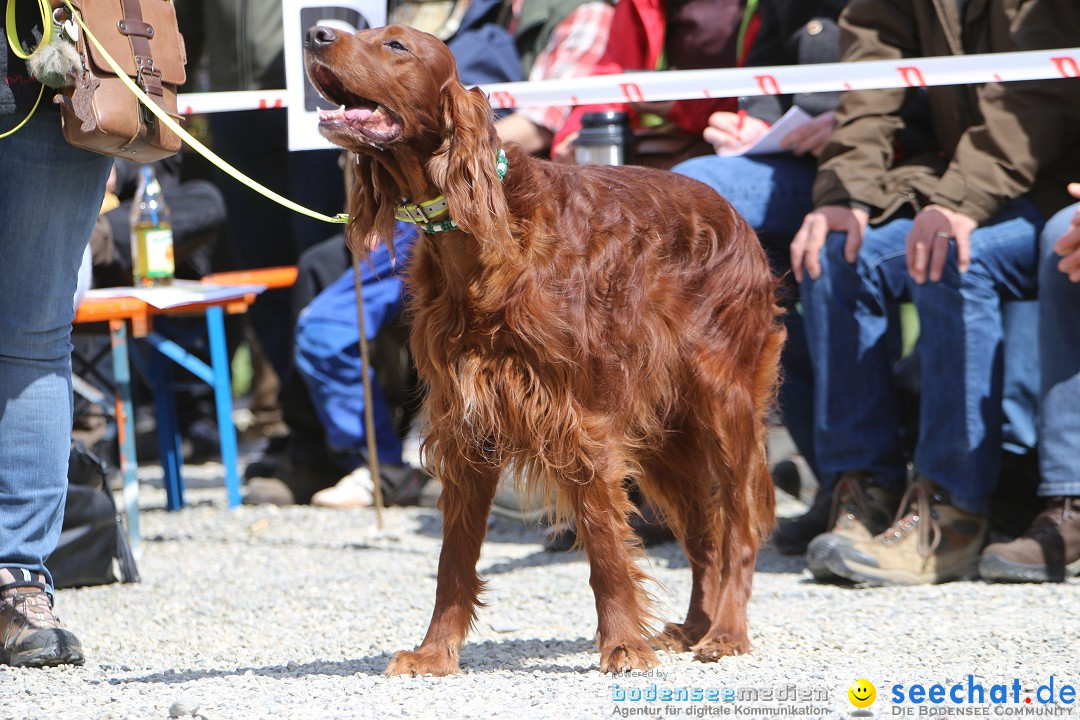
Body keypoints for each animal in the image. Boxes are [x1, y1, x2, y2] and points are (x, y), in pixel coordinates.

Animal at [304, 22, 786, 677]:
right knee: (705, 533)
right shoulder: (468, 425)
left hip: (723, 403)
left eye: (396, 45)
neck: (482, 241)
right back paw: (693, 625)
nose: (315, 32)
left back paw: (727, 632)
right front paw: (435, 652)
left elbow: (605, 545)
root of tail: (738, 219)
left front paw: (623, 645)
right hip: (665, 436)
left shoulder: (579, 421)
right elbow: (453, 560)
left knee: (737, 526)